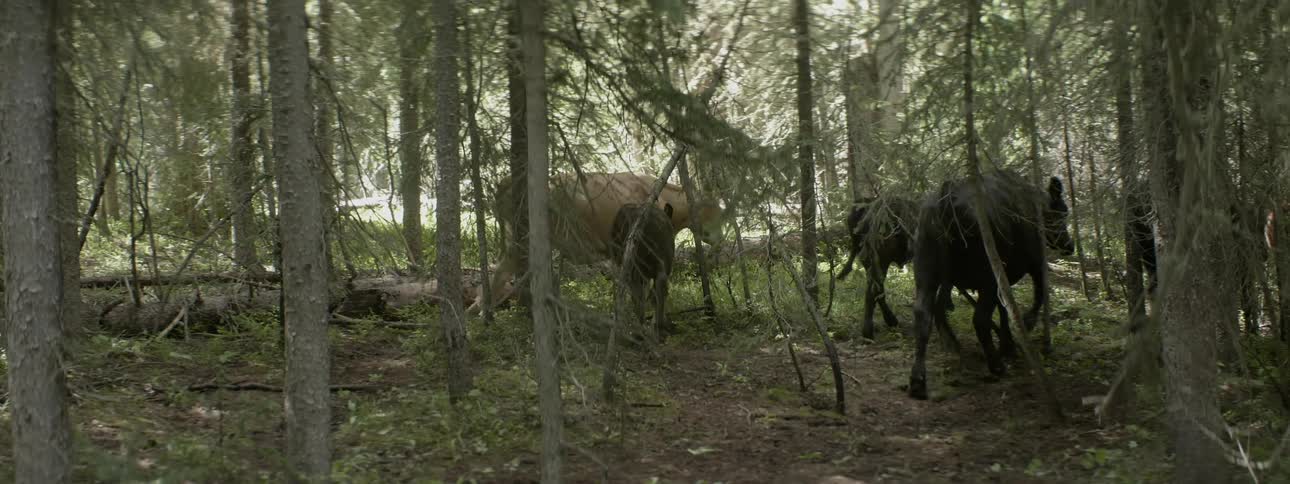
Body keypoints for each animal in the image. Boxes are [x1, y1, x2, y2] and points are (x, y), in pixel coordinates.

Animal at [466, 172, 723, 316]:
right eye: (714, 210)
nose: (719, 240)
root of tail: (505, 183)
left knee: (499, 274)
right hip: (523, 239)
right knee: (502, 274)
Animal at [611, 203, 676, 338]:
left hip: (630, 265)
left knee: (638, 295)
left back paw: (640, 331)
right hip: (659, 264)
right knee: (657, 291)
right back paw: (657, 328)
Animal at [907, 170, 1075, 400]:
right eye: (1063, 212)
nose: (1070, 245)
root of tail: (946, 200)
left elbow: (1003, 308)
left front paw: (1008, 344)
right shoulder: (1035, 263)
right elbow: (1036, 296)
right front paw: (1024, 327)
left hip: (928, 272)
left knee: (924, 314)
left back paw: (921, 377)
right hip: (986, 273)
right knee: (979, 318)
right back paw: (995, 365)